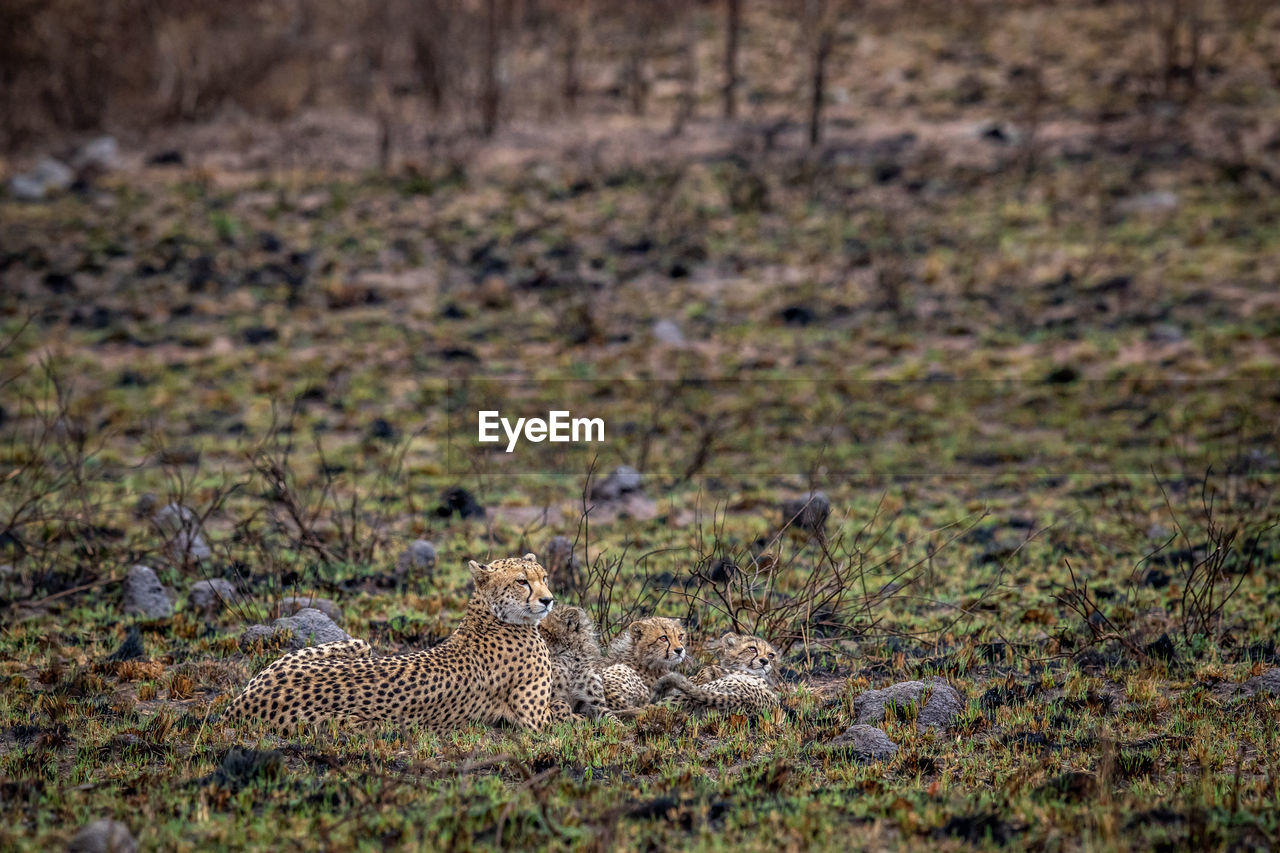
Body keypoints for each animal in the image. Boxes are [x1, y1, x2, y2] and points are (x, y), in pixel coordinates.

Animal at [224, 555, 560, 727]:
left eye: (544, 577)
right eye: (522, 581)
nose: (548, 600)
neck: (490, 616)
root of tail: (238, 704)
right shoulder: (535, 718)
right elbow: (568, 713)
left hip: (359, 645)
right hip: (357, 721)